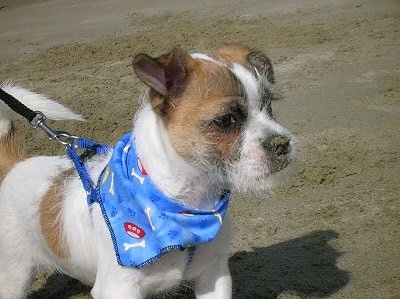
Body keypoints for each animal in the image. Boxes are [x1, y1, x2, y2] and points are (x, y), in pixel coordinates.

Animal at [0, 45, 294, 299]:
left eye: (269, 107)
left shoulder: (214, 276)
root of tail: (16, 163)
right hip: (14, 279)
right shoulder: (118, 289)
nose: (282, 144)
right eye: (226, 120)